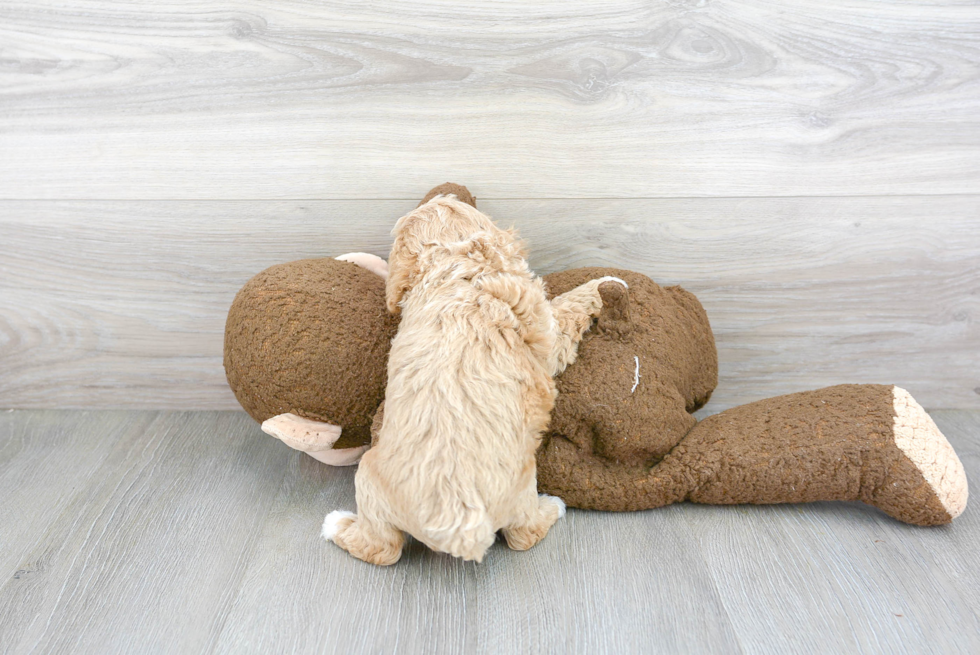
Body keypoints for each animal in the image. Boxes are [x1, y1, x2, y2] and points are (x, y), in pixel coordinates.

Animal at [326, 195, 624, 564]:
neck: (455, 268)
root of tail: (457, 522)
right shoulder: (545, 330)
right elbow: (569, 308)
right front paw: (605, 282)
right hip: (517, 483)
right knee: (519, 535)